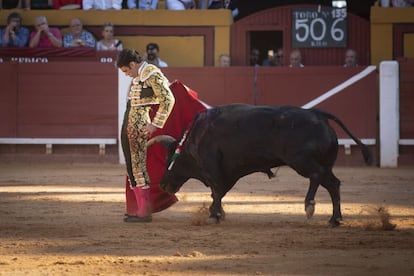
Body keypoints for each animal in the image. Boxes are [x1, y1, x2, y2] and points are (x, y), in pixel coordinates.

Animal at [149, 103, 372, 226]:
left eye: (169, 159)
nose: (162, 184)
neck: (194, 137)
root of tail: (318, 114)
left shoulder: (213, 167)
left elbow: (217, 190)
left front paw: (214, 215)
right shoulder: (227, 171)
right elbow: (218, 192)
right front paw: (218, 213)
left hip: (301, 160)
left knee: (316, 176)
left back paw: (309, 206)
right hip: (325, 164)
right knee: (333, 184)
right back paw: (335, 219)